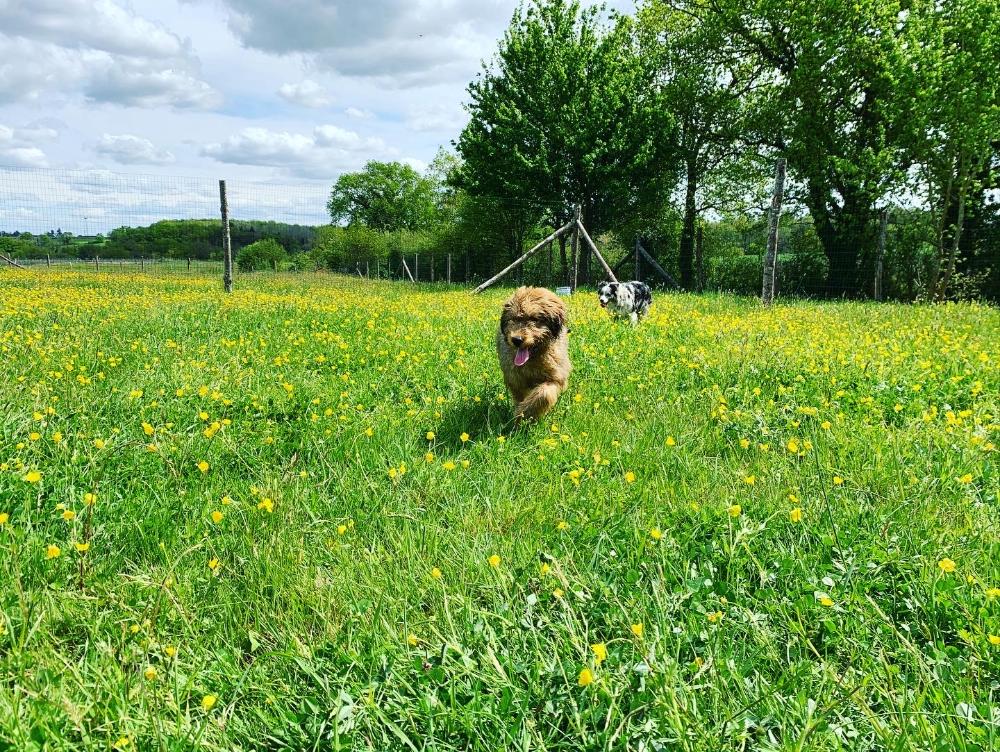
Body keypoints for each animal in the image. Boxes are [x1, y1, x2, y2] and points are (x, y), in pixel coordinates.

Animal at [498, 286, 572, 420]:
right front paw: (520, 415)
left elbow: (544, 394)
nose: (516, 340)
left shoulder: (556, 376)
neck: (533, 358)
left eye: (533, 318)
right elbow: (519, 396)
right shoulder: (515, 379)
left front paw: (525, 413)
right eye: (513, 319)